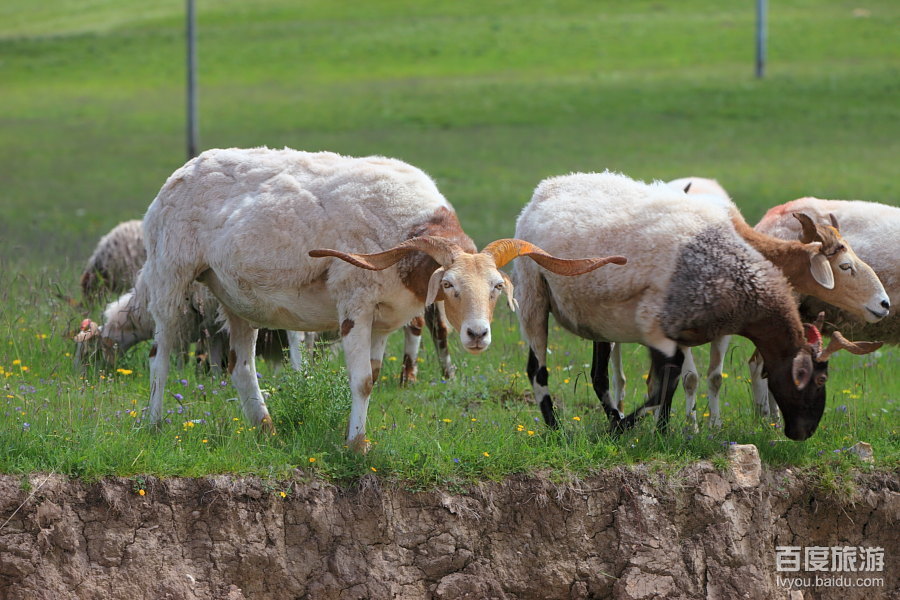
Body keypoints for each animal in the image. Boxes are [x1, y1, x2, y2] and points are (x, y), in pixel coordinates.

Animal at [144, 149, 624, 450]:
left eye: (496, 287)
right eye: (448, 285)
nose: (477, 334)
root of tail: (181, 173)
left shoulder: (384, 320)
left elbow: (372, 377)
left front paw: (359, 436)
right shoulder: (354, 308)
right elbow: (361, 381)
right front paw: (357, 446)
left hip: (237, 301)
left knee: (242, 369)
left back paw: (266, 430)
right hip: (170, 276)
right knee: (160, 357)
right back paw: (154, 423)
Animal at [512, 172, 880, 440]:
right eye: (845, 266)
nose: (884, 304)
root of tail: (544, 189)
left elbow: (682, 379)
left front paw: (664, 429)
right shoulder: (663, 325)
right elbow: (677, 377)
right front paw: (665, 426)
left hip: (594, 314)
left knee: (599, 375)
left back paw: (612, 418)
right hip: (533, 293)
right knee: (538, 369)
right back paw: (557, 427)